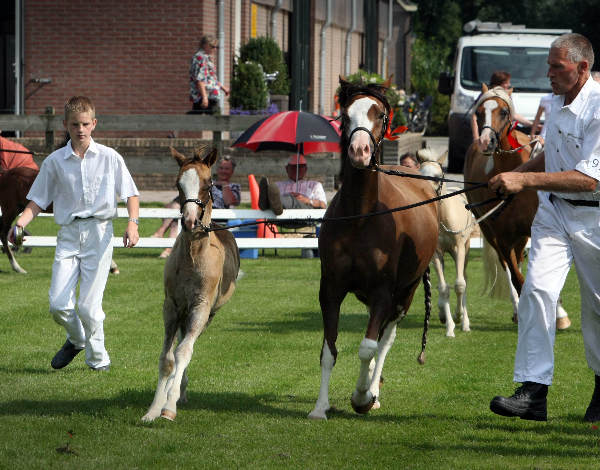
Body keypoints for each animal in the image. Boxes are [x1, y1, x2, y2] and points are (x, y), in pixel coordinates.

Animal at [142, 147, 240, 422]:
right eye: (178, 184)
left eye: (208, 184)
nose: (189, 221)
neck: (193, 256)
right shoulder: (172, 307)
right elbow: (167, 358)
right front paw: (154, 408)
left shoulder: (200, 307)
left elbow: (184, 352)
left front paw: (168, 407)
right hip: (184, 314)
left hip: (207, 315)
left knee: (187, 345)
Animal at [308, 79, 438, 420]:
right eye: (344, 114)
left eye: (380, 115)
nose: (359, 151)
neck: (360, 217)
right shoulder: (331, 289)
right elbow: (329, 350)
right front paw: (320, 407)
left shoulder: (383, 291)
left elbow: (368, 347)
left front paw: (362, 396)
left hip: (406, 292)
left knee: (385, 340)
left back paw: (371, 391)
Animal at [418, 149, 474, 336]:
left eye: (437, 177)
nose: (425, 196)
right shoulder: (436, 253)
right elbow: (443, 288)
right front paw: (450, 327)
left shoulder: (459, 248)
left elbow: (460, 284)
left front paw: (459, 317)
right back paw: (443, 313)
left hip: (466, 248)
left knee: (464, 278)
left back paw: (464, 320)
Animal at [466, 83, 568, 330]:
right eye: (479, 112)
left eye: (503, 112)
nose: (485, 141)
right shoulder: (503, 239)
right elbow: (518, 280)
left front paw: (558, 313)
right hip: (491, 234)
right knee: (508, 267)